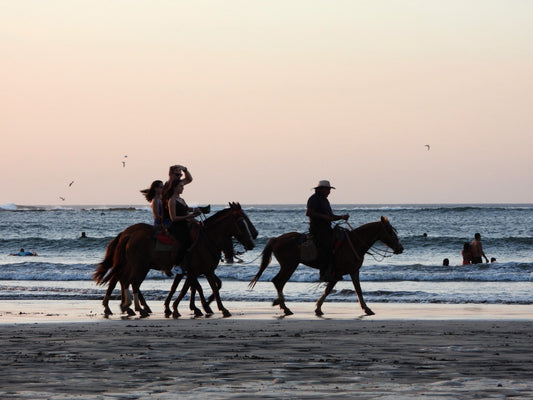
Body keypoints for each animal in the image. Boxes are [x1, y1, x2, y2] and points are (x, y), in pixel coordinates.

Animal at [93, 203, 256, 318]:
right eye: (242, 222)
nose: (252, 243)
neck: (207, 240)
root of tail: (126, 235)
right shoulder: (195, 271)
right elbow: (192, 288)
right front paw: (189, 308)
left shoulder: (201, 271)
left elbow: (202, 287)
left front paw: (209, 307)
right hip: (139, 266)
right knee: (129, 282)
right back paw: (134, 308)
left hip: (134, 266)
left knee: (123, 280)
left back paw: (126, 307)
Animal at [249, 217, 404, 318]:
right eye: (390, 232)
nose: (400, 248)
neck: (354, 243)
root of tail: (276, 239)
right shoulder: (336, 273)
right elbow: (329, 289)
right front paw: (318, 308)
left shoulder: (353, 271)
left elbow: (358, 290)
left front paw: (367, 309)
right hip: (289, 265)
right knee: (278, 282)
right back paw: (285, 307)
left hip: (289, 266)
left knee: (278, 282)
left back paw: (282, 305)